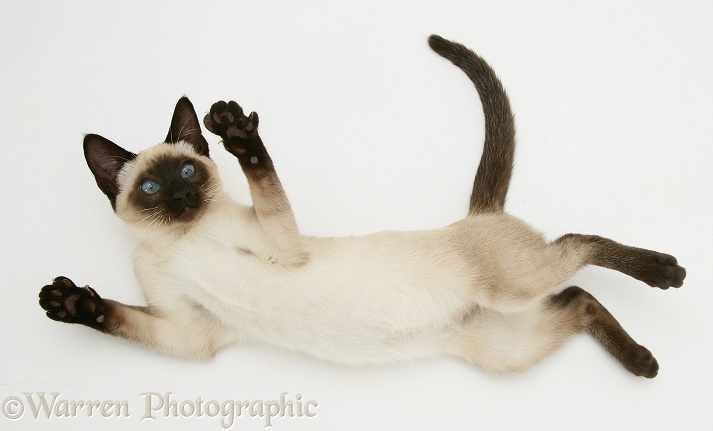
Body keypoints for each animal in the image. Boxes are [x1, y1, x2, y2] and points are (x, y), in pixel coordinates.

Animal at [39, 34, 684, 378]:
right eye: (150, 189)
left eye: (188, 171)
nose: (179, 197)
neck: (180, 243)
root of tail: (477, 218)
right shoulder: (192, 334)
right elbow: (119, 317)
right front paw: (70, 303)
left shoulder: (283, 249)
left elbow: (261, 170)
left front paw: (237, 132)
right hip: (504, 345)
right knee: (577, 295)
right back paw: (643, 362)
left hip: (513, 289)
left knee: (581, 244)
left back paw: (667, 274)